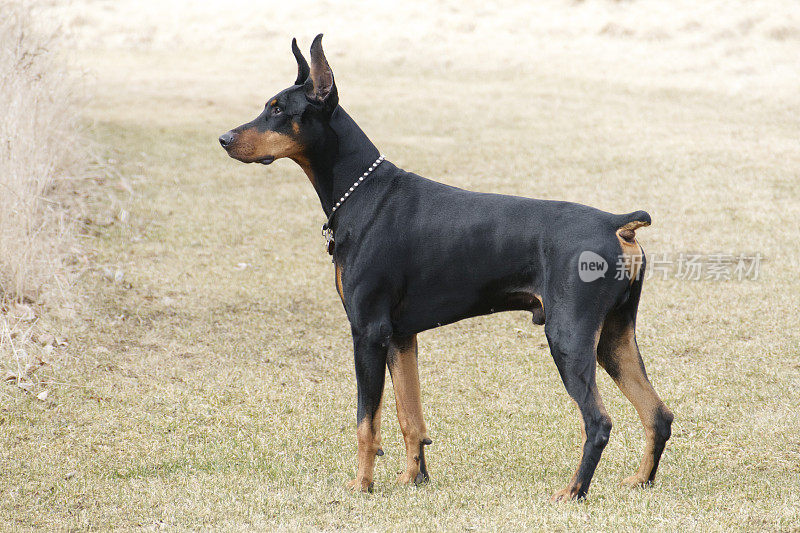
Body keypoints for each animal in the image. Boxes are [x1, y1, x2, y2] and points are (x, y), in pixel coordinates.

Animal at [217, 35, 668, 500]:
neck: (361, 192)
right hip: (614, 336)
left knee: (599, 422)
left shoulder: (368, 331)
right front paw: (413, 477)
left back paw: (573, 491)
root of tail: (616, 223)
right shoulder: (400, 336)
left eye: (278, 110)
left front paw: (362, 484)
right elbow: (409, 416)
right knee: (658, 413)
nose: (224, 138)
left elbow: (366, 422)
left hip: (569, 336)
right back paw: (640, 480)